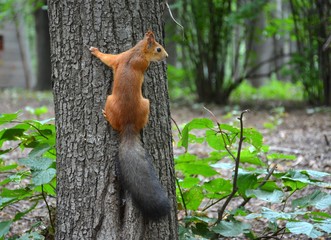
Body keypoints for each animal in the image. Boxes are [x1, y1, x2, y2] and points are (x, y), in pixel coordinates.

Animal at [89, 30, 170, 219]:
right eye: (158, 49)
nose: (166, 57)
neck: (136, 53)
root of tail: (128, 126)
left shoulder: (121, 58)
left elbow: (108, 58)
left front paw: (95, 51)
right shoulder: (123, 57)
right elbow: (107, 58)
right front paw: (95, 51)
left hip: (114, 101)